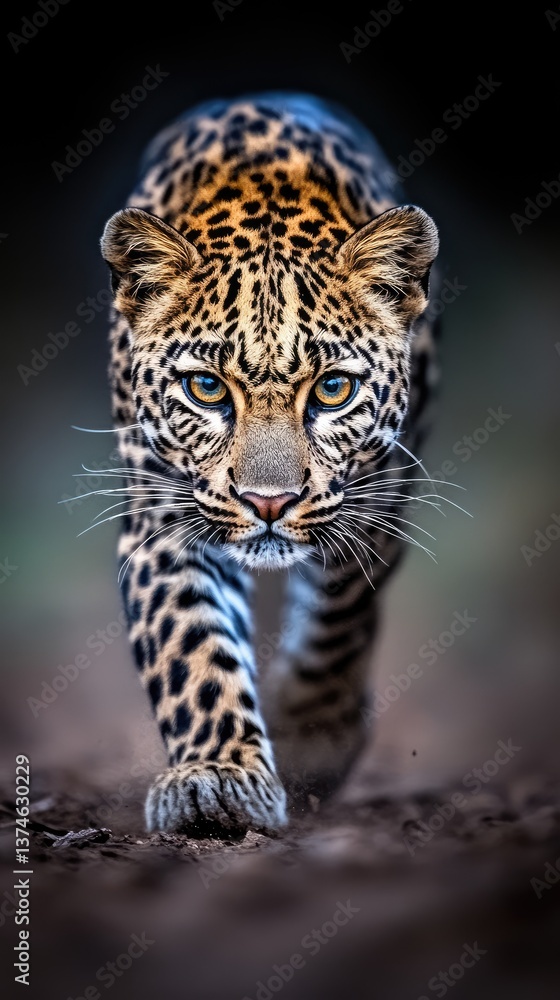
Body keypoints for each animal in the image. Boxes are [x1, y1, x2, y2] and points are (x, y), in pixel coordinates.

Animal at [98, 91, 440, 837]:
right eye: (206, 388)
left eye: (333, 389)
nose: (268, 503)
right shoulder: (163, 513)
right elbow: (190, 644)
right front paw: (216, 778)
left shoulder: (379, 494)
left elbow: (342, 611)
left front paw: (311, 738)